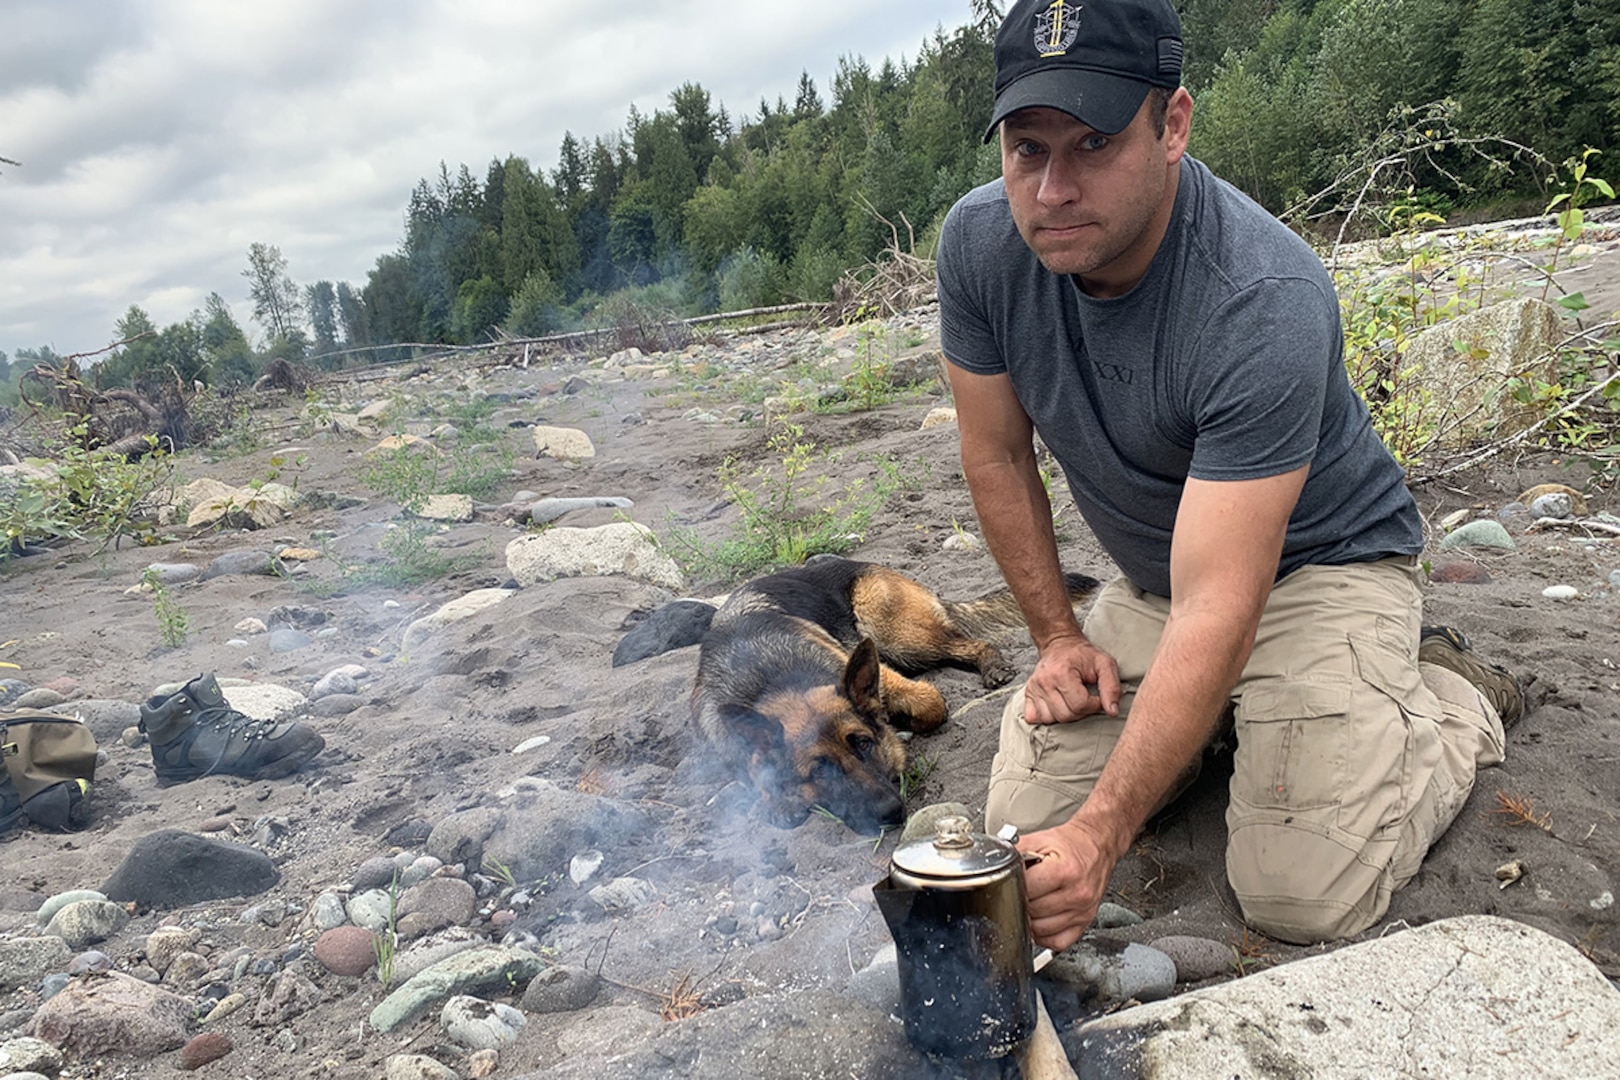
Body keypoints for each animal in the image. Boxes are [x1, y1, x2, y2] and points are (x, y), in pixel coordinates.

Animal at [690, 557, 1095, 835]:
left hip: (890, 631)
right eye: (819, 770)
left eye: (863, 744)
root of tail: (862, 563)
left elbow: (931, 704)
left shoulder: (884, 677)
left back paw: (992, 666)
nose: (891, 813)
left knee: (969, 641)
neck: (776, 677)